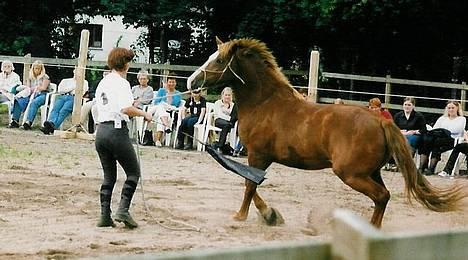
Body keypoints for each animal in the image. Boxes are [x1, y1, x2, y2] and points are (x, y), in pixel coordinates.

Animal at [188, 37, 466, 228]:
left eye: (219, 60)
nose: (192, 82)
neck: (265, 103)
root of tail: (380, 121)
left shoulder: (257, 155)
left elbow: (249, 185)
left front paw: (245, 215)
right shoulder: (260, 158)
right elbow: (252, 184)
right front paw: (270, 215)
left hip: (350, 173)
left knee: (382, 196)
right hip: (371, 172)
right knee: (382, 198)